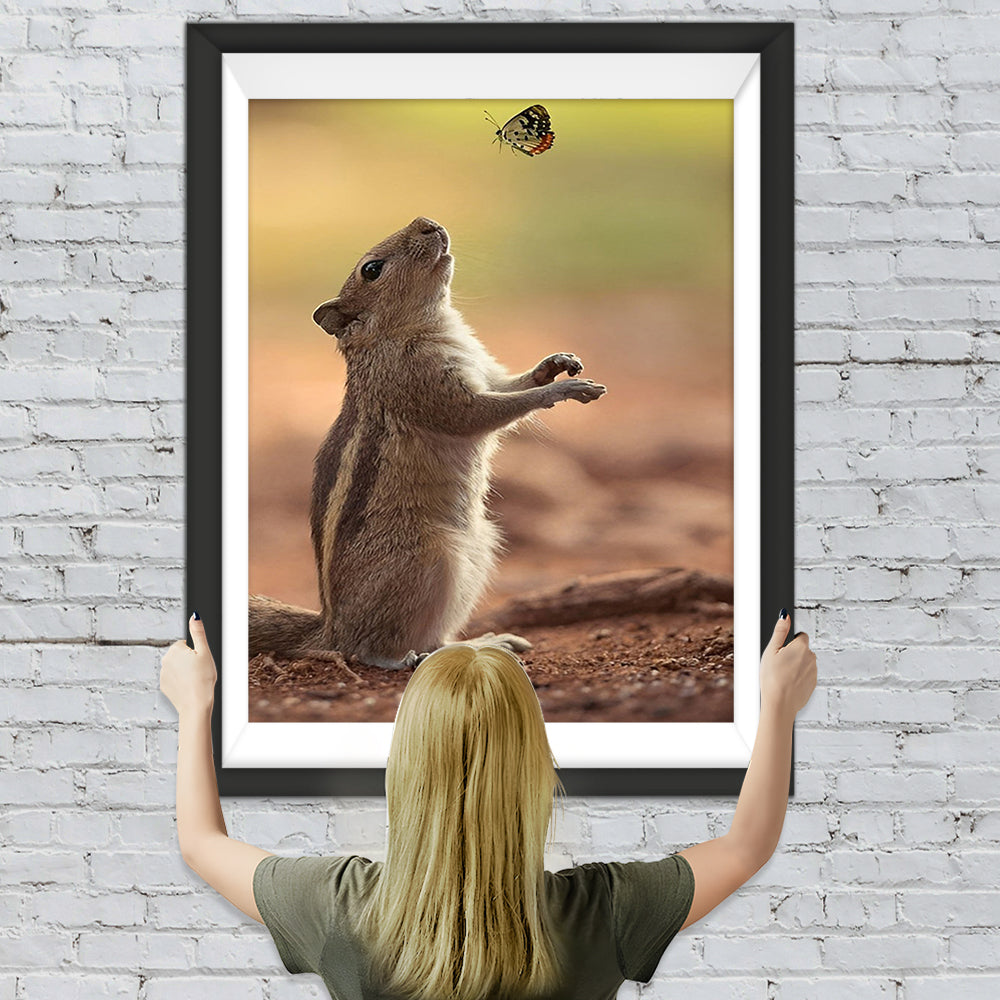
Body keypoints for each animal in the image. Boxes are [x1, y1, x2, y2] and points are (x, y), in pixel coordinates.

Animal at [248, 217, 607, 669]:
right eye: (371, 270)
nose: (427, 222)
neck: (430, 325)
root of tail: (331, 626)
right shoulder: (432, 390)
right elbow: (485, 412)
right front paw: (564, 389)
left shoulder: (484, 372)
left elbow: (511, 384)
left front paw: (556, 364)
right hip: (430, 557)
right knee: (364, 649)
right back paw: (405, 659)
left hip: (480, 549)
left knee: (436, 637)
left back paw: (486, 642)